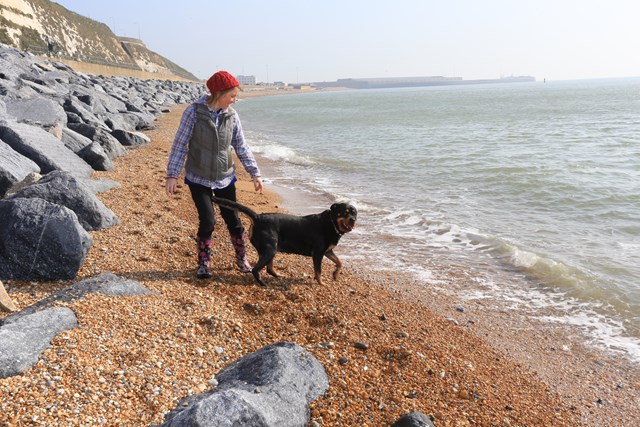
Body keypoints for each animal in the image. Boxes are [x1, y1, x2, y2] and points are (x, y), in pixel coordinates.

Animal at [211, 198, 358, 288]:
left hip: (271, 249)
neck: (332, 224)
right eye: (345, 212)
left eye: (354, 213)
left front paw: (335, 274)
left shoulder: (328, 251)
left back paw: (278, 276)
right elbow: (318, 271)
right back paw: (262, 283)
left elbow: (339, 262)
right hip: (270, 248)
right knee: (256, 269)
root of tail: (258, 217)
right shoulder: (318, 254)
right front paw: (321, 283)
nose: (353, 220)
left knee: (269, 268)